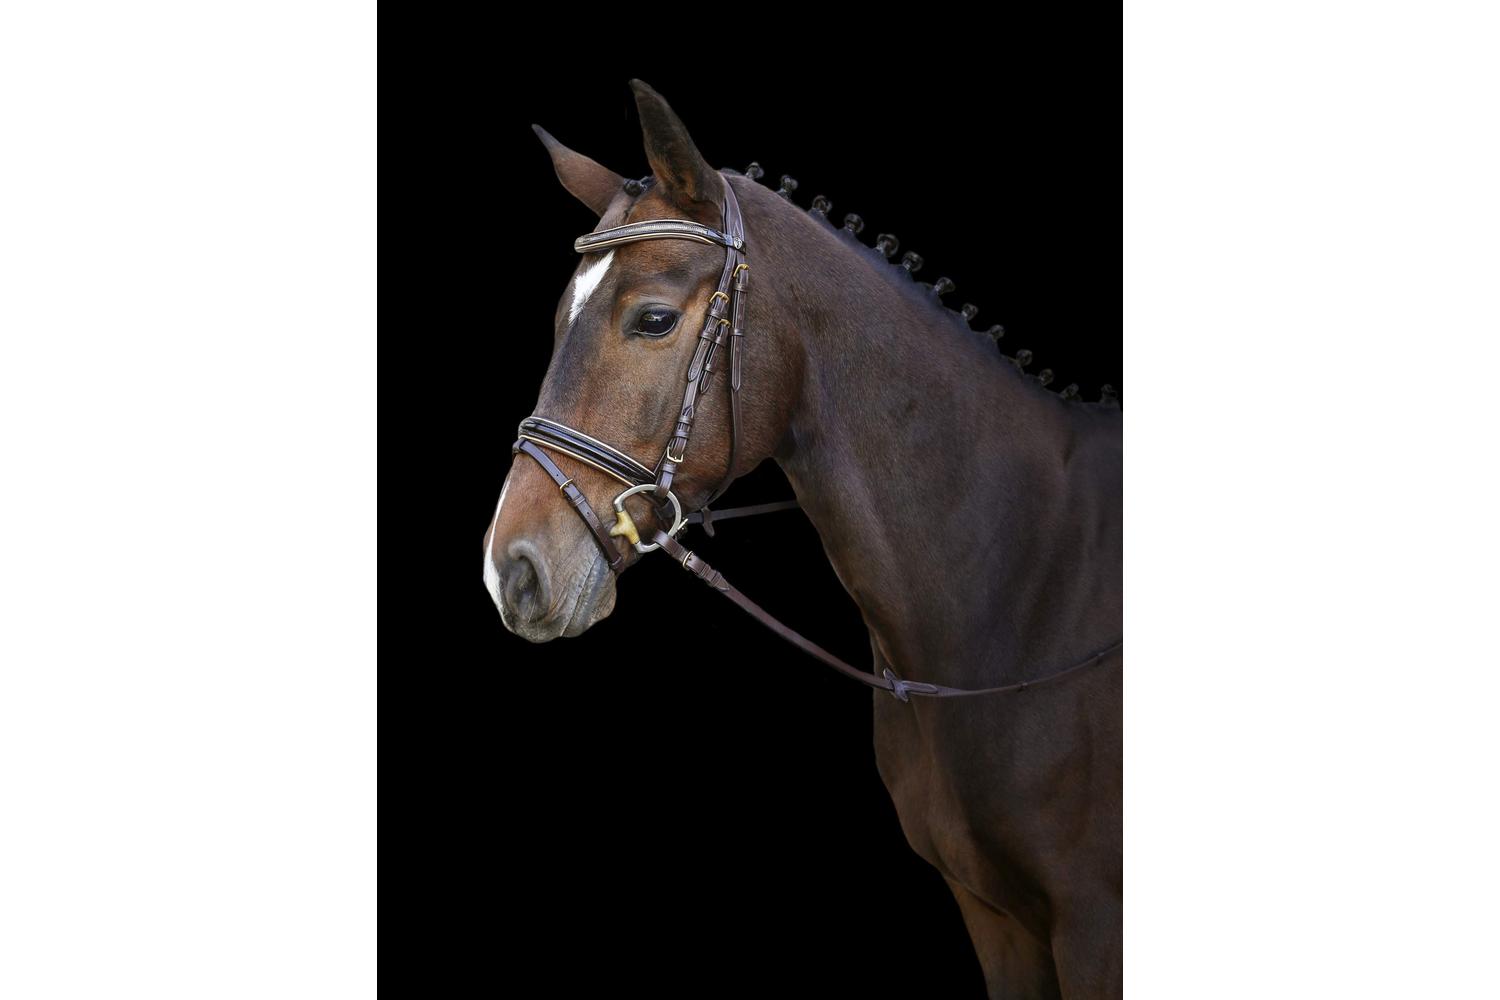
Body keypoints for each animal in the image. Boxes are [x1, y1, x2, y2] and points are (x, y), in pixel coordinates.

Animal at [483, 79, 1122, 998]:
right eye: (561, 314)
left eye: (653, 319)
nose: (514, 571)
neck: (1027, 583)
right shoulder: (996, 920)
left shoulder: (1093, 923)